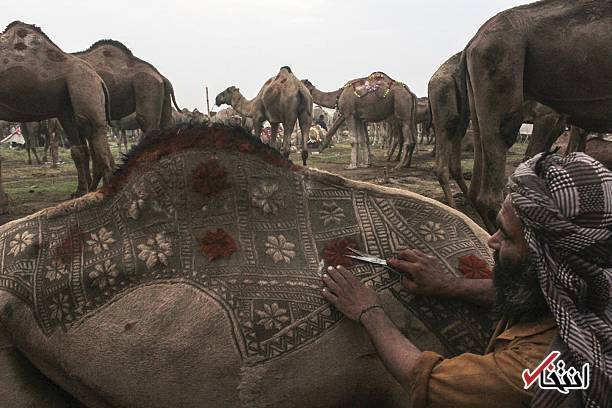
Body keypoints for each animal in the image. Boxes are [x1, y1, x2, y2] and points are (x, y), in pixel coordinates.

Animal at [0, 20, 114, 196]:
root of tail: (99, 79)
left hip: (83, 85)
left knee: (94, 132)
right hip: (66, 107)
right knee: (81, 146)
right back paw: (83, 191)